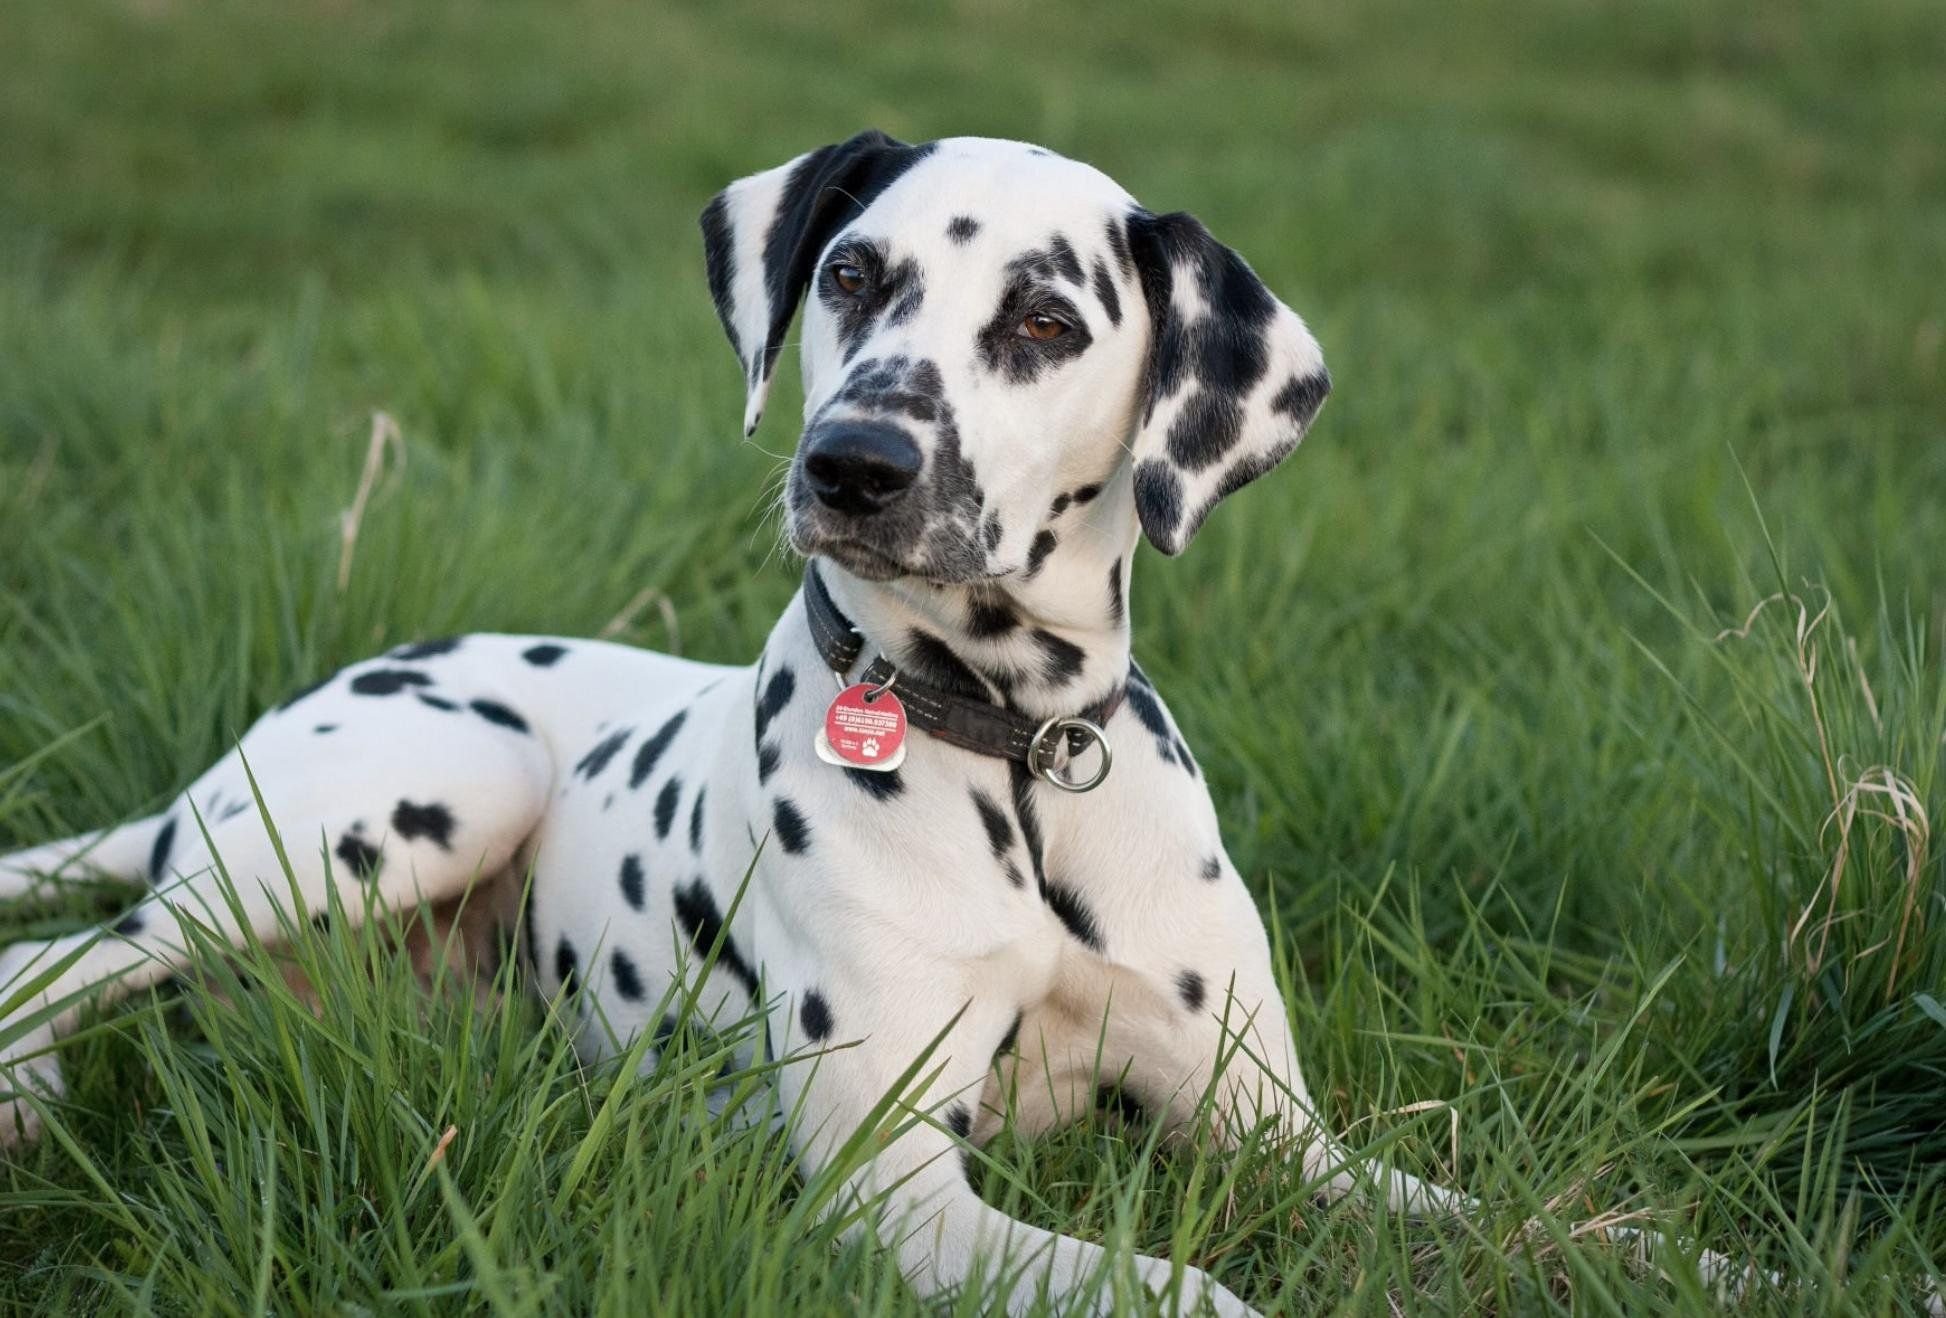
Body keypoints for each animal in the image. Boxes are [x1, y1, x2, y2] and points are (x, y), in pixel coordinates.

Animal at [0, 133, 1463, 1316]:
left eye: (1046, 321)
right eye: (852, 274)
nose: (854, 464)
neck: (1015, 753)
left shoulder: (1267, 1124)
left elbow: (1428, 1202)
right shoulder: (901, 1188)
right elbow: (1177, 1282)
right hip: (424, 793)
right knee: (57, 958)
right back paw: (27, 1096)